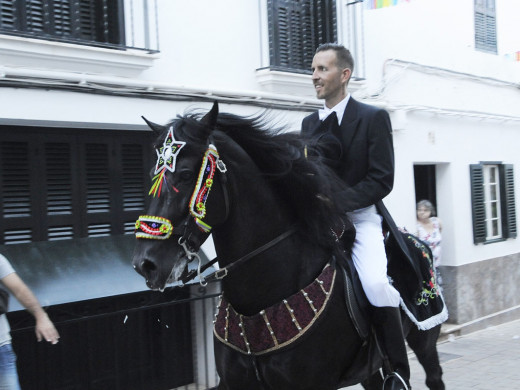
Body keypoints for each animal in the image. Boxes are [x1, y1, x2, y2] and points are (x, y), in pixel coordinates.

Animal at [132, 103, 444, 390]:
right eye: (152, 175)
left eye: (186, 175)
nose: (145, 264)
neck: (257, 301)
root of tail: (420, 243)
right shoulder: (236, 382)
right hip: (368, 368)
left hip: (424, 340)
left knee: (432, 375)